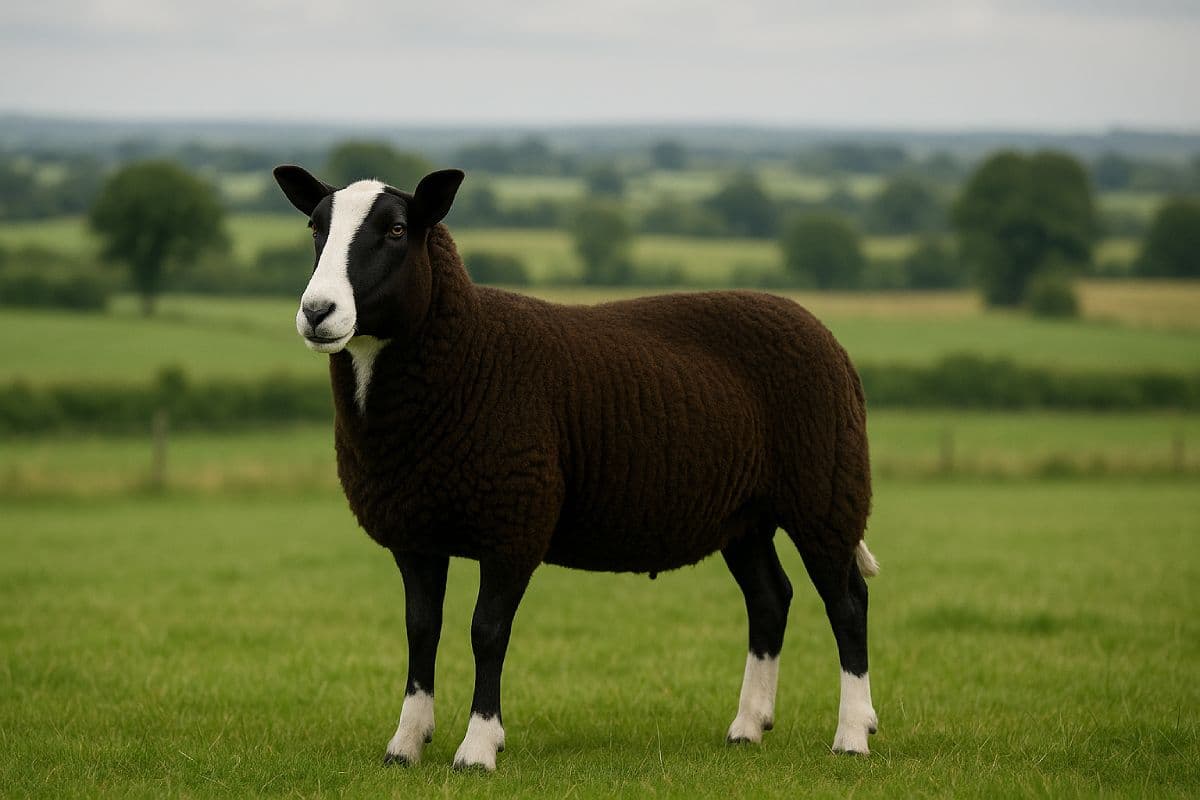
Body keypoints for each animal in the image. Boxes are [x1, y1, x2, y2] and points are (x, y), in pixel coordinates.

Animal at [272, 165, 880, 771]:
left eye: (397, 230)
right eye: (315, 227)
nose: (317, 312)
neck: (467, 351)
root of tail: (817, 328)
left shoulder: (514, 522)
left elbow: (487, 632)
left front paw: (478, 748)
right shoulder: (414, 532)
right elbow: (422, 630)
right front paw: (405, 743)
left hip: (826, 489)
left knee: (847, 603)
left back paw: (852, 734)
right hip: (746, 515)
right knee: (770, 599)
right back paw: (748, 727)